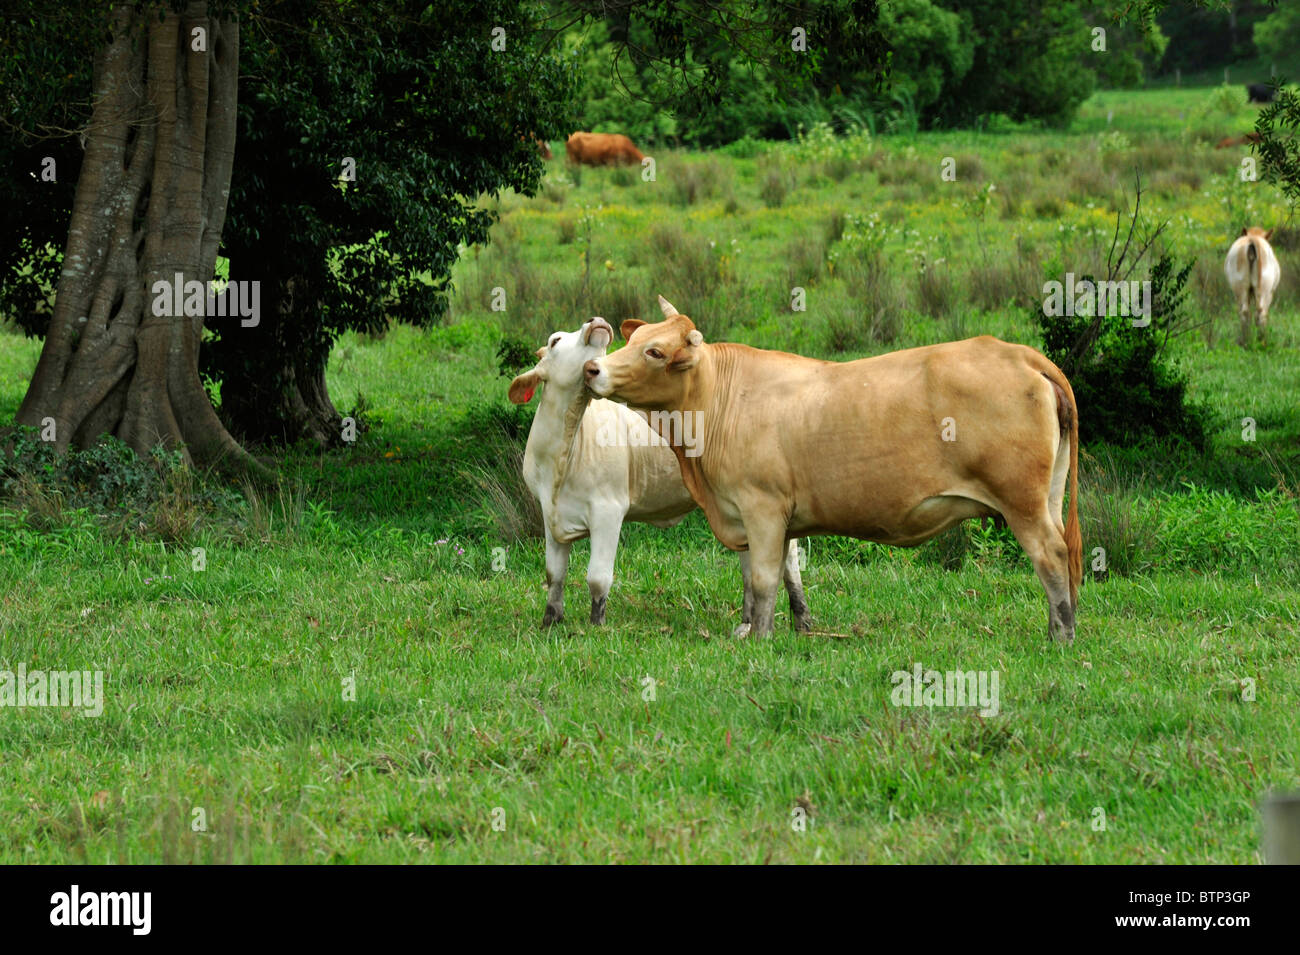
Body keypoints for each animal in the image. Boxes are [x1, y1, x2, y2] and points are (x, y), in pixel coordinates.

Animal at [509, 317, 810, 630]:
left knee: (788, 559)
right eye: (555, 340)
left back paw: (801, 619)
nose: (595, 321)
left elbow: (598, 577)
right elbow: (554, 573)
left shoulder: (608, 509)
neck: (561, 457)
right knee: (749, 563)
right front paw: (550, 621)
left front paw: (596, 625)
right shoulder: (550, 513)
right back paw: (747, 621)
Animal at [584, 296, 1083, 642]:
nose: (592, 369)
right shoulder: (757, 515)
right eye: (632, 340)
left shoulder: (762, 507)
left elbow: (763, 578)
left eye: (653, 352)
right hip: (1049, 497)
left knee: (1051, 557)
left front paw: (760, 637)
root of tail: (1018, 353)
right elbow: (773, 576)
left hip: (1023, 502)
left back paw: (1060, 636)